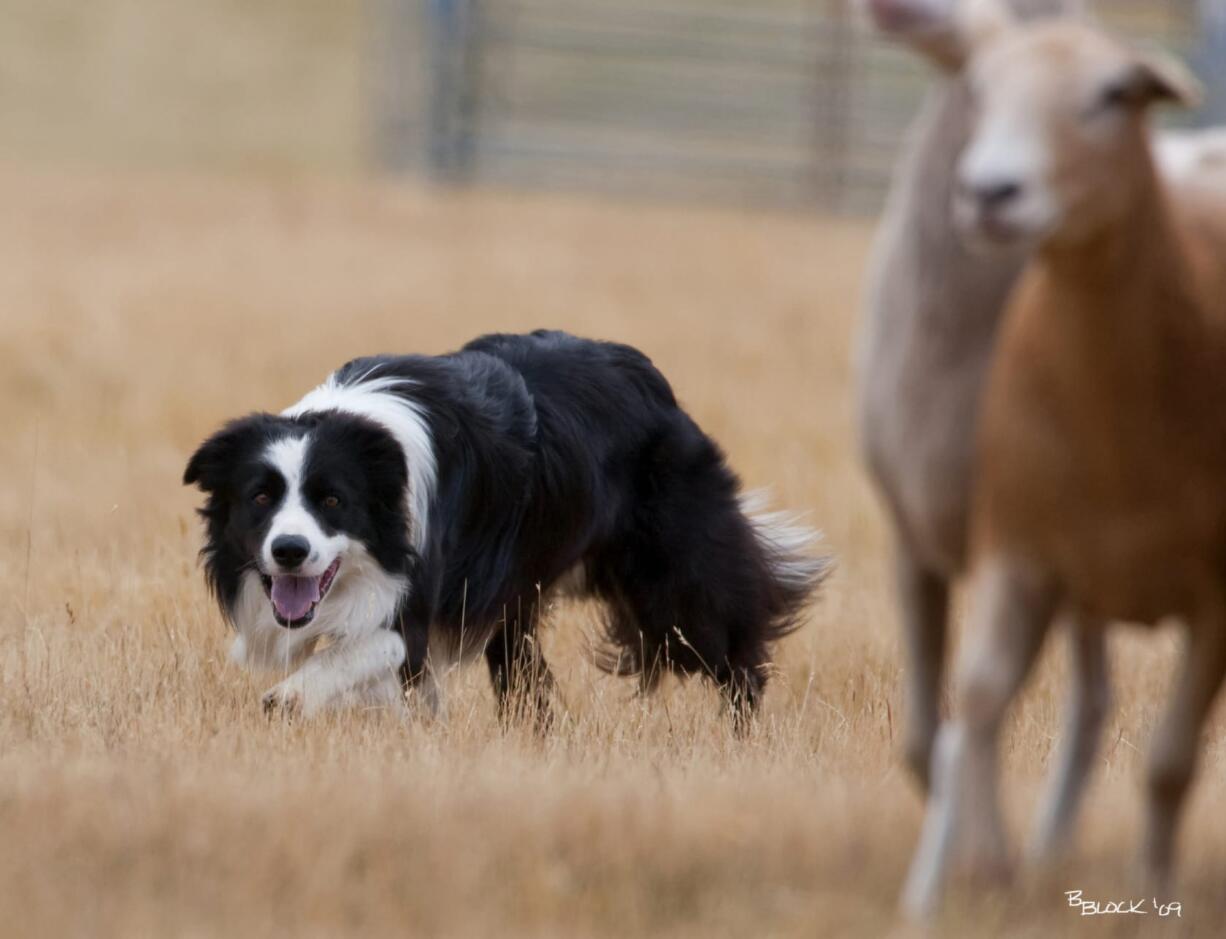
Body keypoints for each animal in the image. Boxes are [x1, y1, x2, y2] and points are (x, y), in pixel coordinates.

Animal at [183, 333, 833, 725]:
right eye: (261, 498)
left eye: (333, 501)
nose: (290, 551)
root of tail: (647, 377)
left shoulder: (416, 589)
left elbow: (372, 647)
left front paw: (289, 698)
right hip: (519, 595)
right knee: (524, 676)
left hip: (672, 578)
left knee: (728, 639)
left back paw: (743, 730)